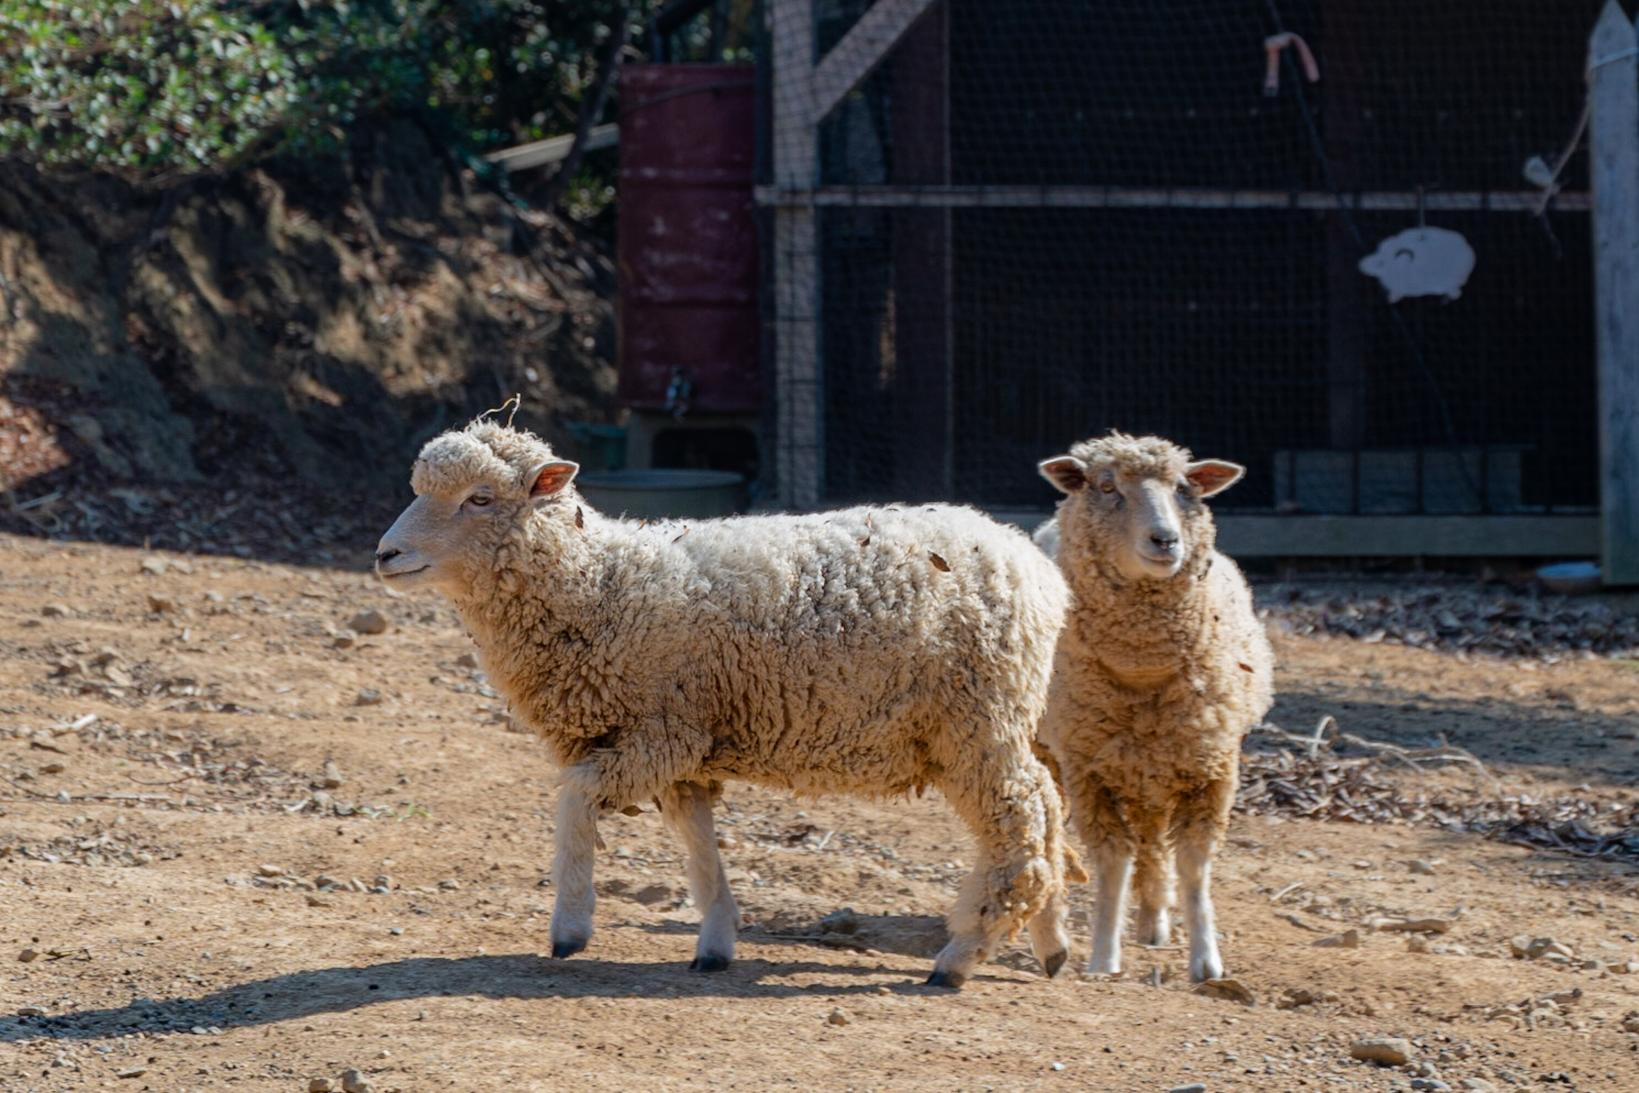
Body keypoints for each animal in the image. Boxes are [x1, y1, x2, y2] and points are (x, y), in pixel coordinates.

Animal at [375, 419, 1081, 983]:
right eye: (418, 489)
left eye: (480, 498)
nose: (385, 554)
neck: (601, 586)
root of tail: (1036, 564)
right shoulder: (686, 747)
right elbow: (698, 846)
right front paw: (716, 940)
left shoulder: (660, 733)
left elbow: (575, 800)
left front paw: (570, 925)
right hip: (991, 721)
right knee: (1046, 804)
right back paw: (1050, 943)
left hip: (977, 716)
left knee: (1021, 818)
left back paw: (961, 955)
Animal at [1029, 432, 1271, 983]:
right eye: (1105, 487)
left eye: (1183, 488)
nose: (1165, 540)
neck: (1142, 673)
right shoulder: (1088, 768)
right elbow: (1112, 862)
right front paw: (1103, 956)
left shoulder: (1213, 764)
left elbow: (1195, 867)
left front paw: (1206, 960)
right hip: (1070, 755)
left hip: (1156, 764)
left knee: (1154, 839)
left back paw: (1155, 918)